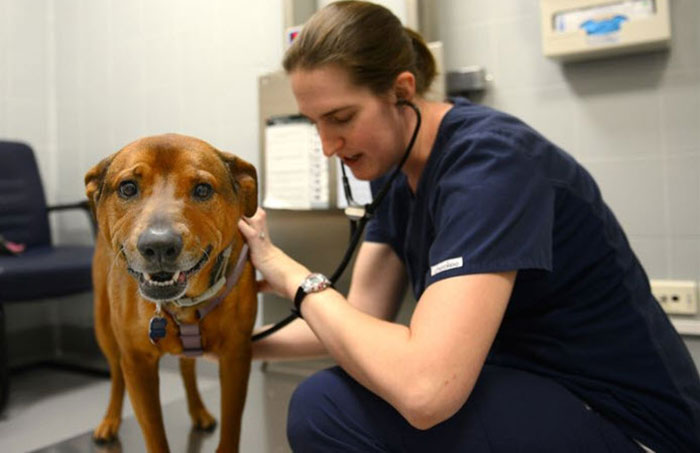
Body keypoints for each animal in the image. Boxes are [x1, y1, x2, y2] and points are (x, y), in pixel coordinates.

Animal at [84, 134, 258, 452]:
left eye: (202, 189)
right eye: (128, 187)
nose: (159, 245)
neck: (181, 303)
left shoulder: (236, 355)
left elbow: (231, 425)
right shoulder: (137, 363)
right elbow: (154, 431)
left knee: (187, 368)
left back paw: (199, 411)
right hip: (105, 331)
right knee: (115, 376)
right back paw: (109, 421)